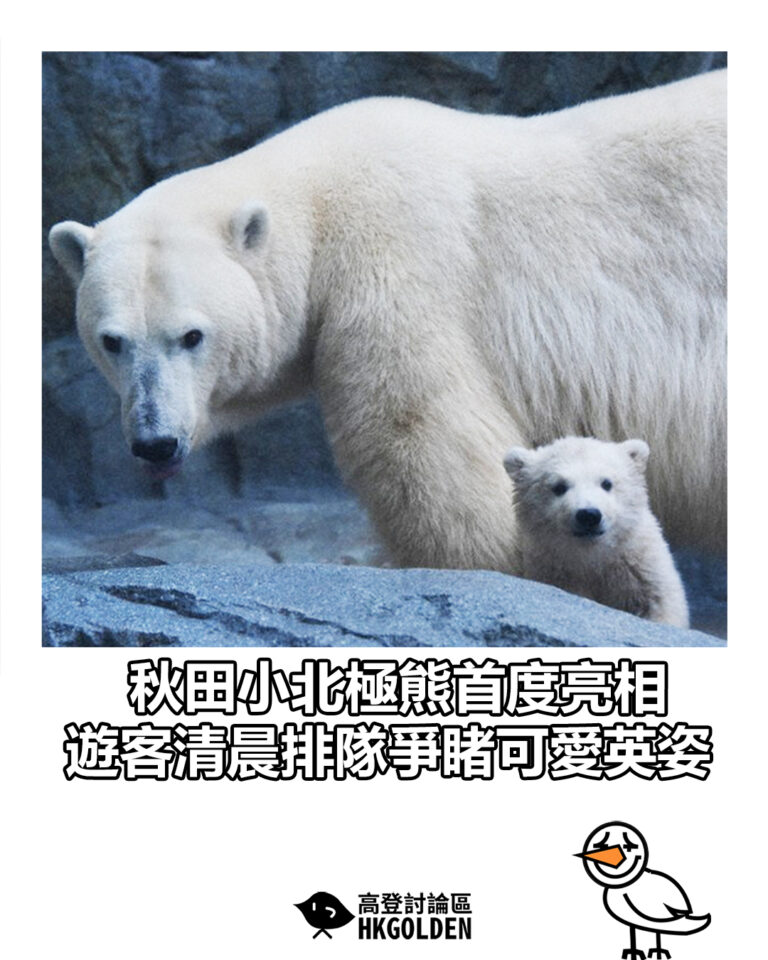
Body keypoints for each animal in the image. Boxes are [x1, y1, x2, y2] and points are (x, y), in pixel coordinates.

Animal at [48, 69, 726, 574]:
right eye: (112, 341)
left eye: (192, 336)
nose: (155, 442)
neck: (320, 195)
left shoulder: (396, 265)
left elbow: (424, 444)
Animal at [503, 436, 689, 628]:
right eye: (559, 486)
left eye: (606, 483)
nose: (589, 515)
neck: (592, 555)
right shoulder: (555, 573)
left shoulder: (640, 569)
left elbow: (658, 601)